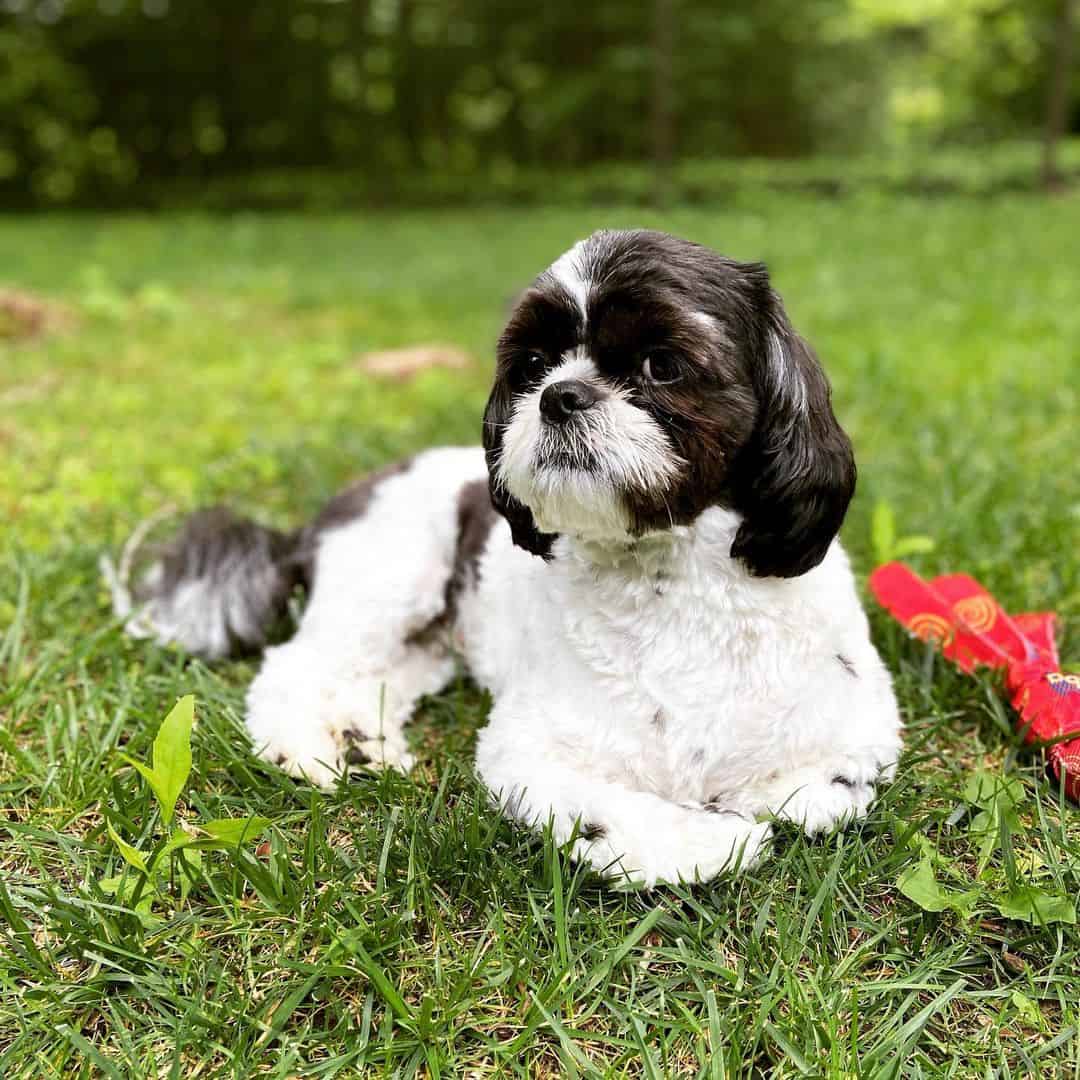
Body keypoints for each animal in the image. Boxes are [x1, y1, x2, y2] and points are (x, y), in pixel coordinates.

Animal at [109, 232, 902, 881]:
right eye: (533, 366)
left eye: (663, 364)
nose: (561, 395)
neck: (670, 584)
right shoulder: (529, 750)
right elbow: (619, 813)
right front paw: (706, 839)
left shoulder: (861, 732)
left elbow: (824, 792)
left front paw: (764, 796)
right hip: (390, 576)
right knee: (297, 666)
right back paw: (306, 747)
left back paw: (365, 738)